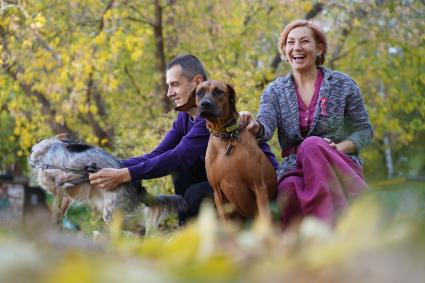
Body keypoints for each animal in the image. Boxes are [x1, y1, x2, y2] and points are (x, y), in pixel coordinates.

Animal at [29, 134, 186, 234]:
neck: (46, 151)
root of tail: (136, 184)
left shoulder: (60, 184)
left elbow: (55, 213)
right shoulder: (66, 195)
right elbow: (60, 217)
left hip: (111, 214)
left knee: (141, 229)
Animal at [195, 81, 276, 221]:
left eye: (218, 91)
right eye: (199, 92)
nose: (205, 104)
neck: (226, 136)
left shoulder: (259, 186)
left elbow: (265, 218)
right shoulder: (217, 193)